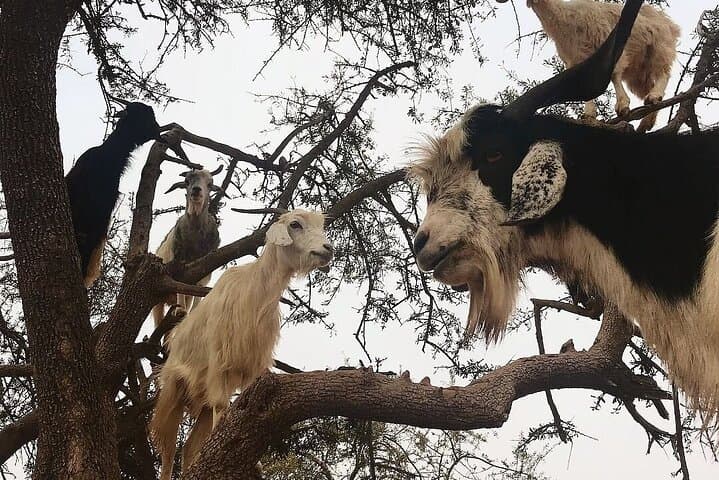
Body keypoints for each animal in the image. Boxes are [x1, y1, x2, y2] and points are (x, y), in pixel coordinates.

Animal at [150, 209, 333, 480]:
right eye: (295, 224)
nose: (327, 249)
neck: (255, 292)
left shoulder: (253, 369)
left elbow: (245, 410)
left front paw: (255, 464)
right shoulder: (219, 365)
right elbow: (222, 406)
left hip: (200, 401)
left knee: (189, 447)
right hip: (174, 391)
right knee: (168, 448)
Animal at [151, 166, 223, 327]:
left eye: (210, 183)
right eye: (186, 181)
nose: (196, 190)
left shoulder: (207, 266)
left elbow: (199, 288)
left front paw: (193, 312)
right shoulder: (179, 262)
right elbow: (180, 284)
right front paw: (180, 311)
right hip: (157, 302)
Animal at [497, 0, 679, 132]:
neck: (566, 19)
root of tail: (671, 24)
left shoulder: (608, 44)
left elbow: (614, 75)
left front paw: (622, 106)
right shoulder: (577, 60)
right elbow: (587, 86)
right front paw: (589, 115)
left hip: (659, 46)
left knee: (664, 73)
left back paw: (654, 97)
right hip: (639, 70)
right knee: (649, 85)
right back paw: (647, 120)